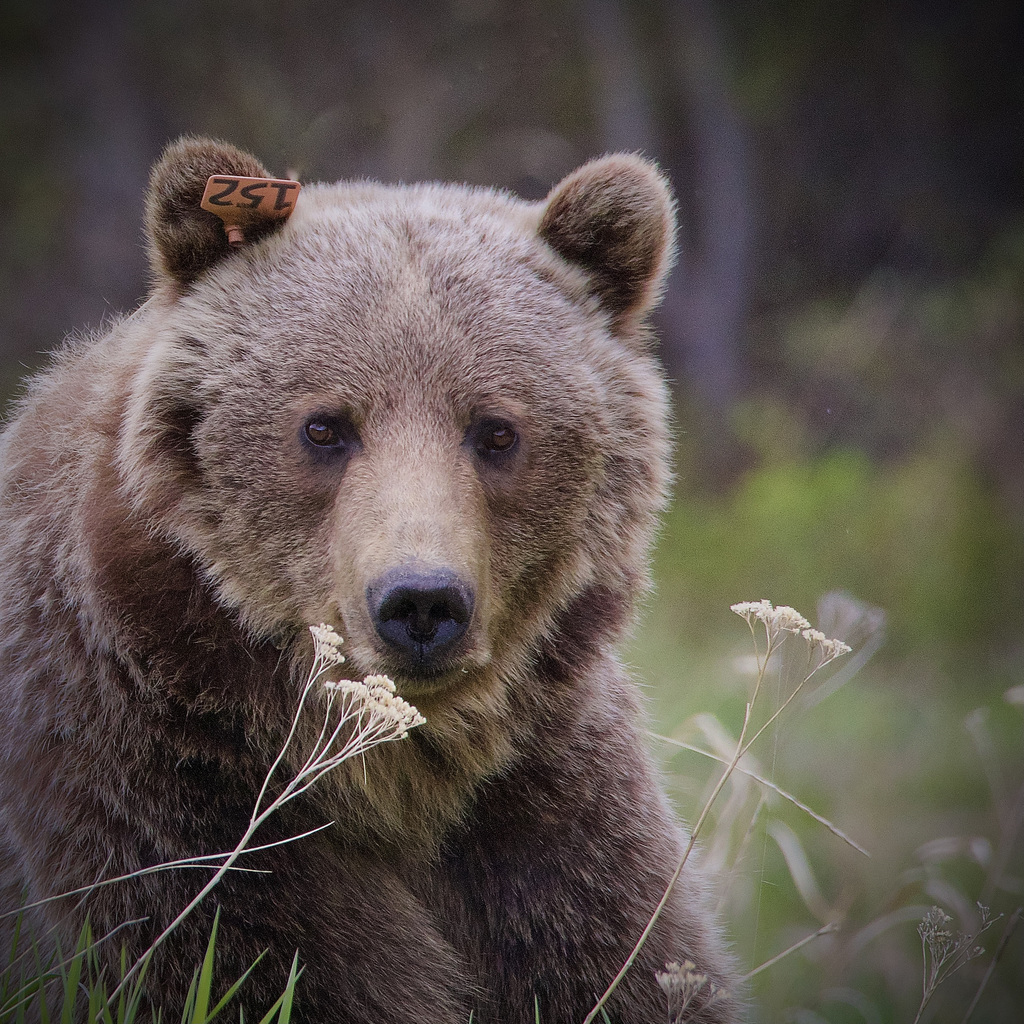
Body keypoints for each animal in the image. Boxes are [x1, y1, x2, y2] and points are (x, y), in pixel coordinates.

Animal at [0, 137, 738, 1023]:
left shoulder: (546, 812)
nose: (420, 601)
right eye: (324, 426)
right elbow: (256, 962)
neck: (393, 775)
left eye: (496, 430)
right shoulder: (158, 796)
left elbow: (628, 962)